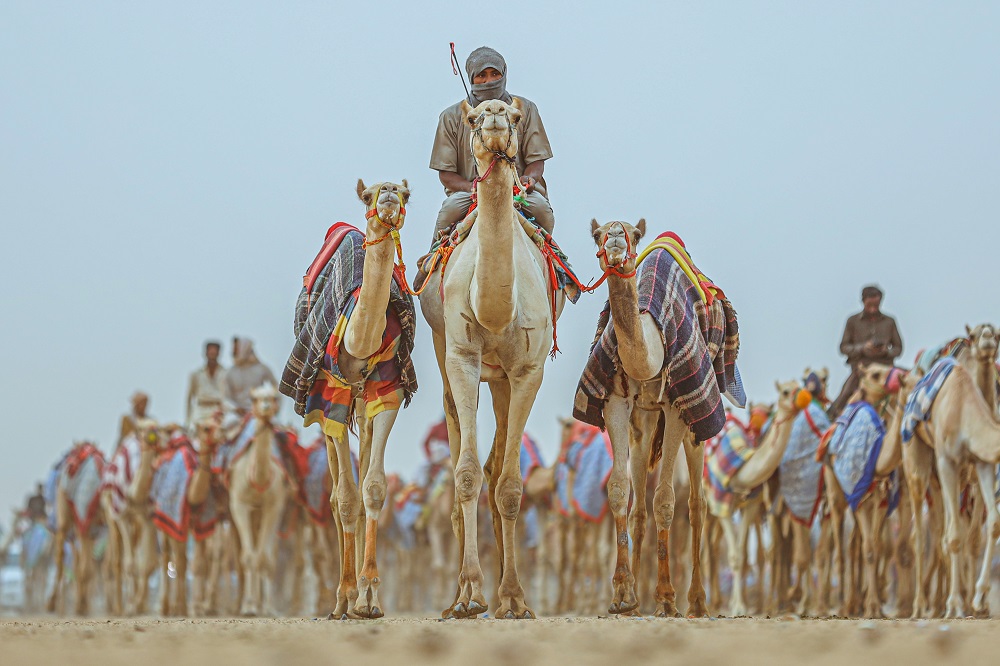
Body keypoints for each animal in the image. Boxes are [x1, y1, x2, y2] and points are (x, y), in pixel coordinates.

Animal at [418, 98, 568, 616]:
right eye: (470, 119)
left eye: (518, 118)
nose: (496, 111)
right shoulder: (462, 358)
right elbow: (464, 476)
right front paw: (471, 594)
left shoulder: (527, 371)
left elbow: (509, 484)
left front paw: (514, 598)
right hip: (444, 354)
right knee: (461, 457)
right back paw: (455, 599)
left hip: (501, 380)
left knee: (497, 462)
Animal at [584, 219, 740, 616]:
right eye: (598, 234)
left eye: (632, 234)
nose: (616, 237)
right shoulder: (618, 402)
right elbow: (619, 490)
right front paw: (623, 595)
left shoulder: (676, 407)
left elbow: (666, 500)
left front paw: (668, 599)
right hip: (644, 423)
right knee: (640, 508)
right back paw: (637, 600)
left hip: (696, 425)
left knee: (697, 505)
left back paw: (697, 601)